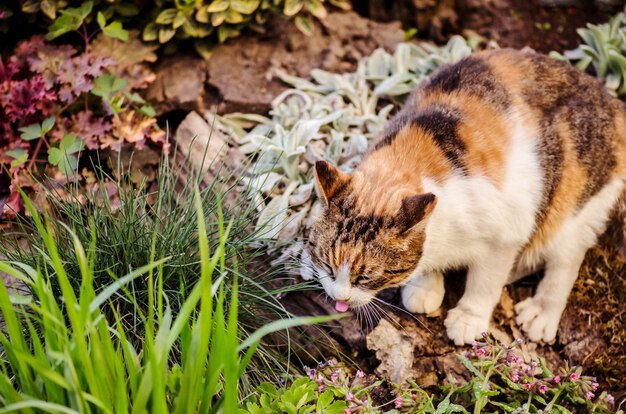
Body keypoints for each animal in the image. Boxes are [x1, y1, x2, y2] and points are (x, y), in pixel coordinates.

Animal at [300, 48, 620, 346]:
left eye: (365, 277)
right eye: (326, 264)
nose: (339, 298)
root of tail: (610, 98)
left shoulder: (507, 231)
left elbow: (486, 282)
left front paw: (469, 318)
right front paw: (425, 287)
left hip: (575, 202)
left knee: (566, 257)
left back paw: (541, 312)